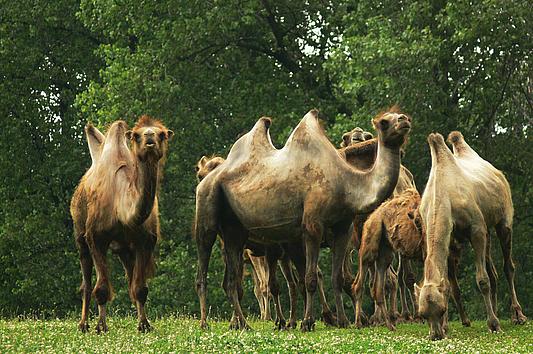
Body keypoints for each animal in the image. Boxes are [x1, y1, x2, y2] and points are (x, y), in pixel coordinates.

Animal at [70, 116, 172, 332]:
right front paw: (101, 326)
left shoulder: (145, 241)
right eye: (136, 135)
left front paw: (144, 324)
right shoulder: (96, 237)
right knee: (86, 280)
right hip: (79, 232)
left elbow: (140, 288)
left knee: (131, 278)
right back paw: (83, 324)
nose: (150, 139)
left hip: (125, 248)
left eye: (162, 134)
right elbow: (101, 288)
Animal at [195, 156, 336, 328]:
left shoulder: (263, 250)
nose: (205, 187)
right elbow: (239, 284)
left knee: (307, 276)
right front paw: (236, 322)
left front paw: (276, 320)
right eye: (199, 175)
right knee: (299, 280)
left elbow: (267, 285)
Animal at [416, 132, 524, 340]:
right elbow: (448, 285)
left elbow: (482, 280)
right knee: (493, 271)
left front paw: (494, 324)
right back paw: (497, 311)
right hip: (488, 229)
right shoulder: (448, 238)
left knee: (508, 266)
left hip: (504, 220)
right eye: (423, 315)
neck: (443, 197)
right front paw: (447, 327)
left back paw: (517, 316)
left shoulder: (476, 229)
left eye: (441, 310)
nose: (435, 335)